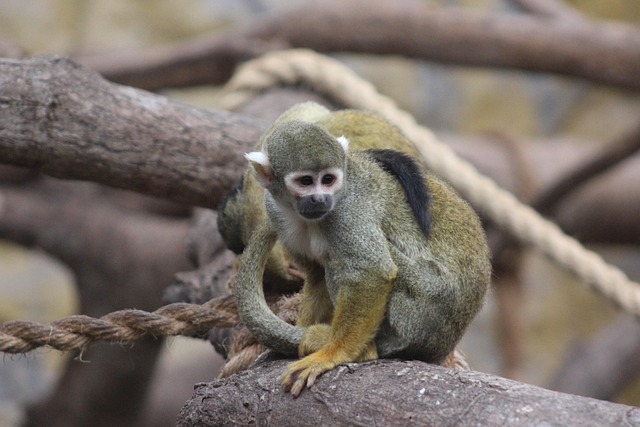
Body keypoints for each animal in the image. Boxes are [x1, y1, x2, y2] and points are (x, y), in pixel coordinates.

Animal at [229, 102, 491, 397]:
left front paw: (333, 353)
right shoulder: (274, 209)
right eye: (306, 182)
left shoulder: (347, 211)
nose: (320, 198)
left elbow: (372, 272)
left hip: (423, 312)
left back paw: (366, 349)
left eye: (328, 179)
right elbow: (316, 275)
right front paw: (302, 331)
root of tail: (443, 345)